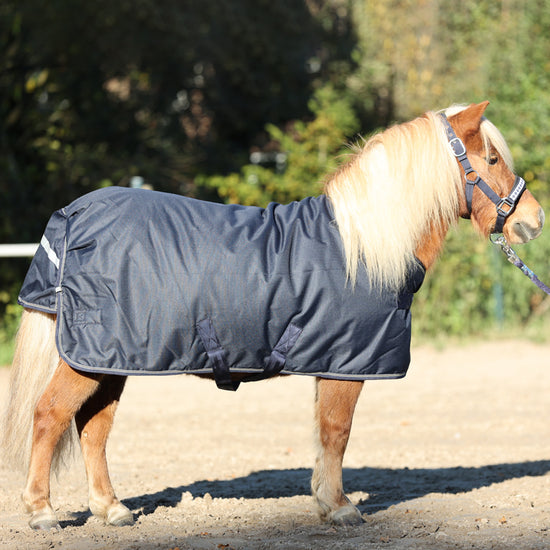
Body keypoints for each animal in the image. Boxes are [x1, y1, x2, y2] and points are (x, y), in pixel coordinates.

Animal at [0, 102, 544, 532]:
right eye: (491, 159)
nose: (533, 220)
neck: (362, 247)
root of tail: (73, 216)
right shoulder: (346, 364)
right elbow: (336, 431)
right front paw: (340, 507)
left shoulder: (332, 361)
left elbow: (326, 433)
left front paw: (325, 501)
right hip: (88, 359)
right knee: (50, 416)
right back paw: (42, 512)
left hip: (109, 361)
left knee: (93, 427)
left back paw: (112, 509)